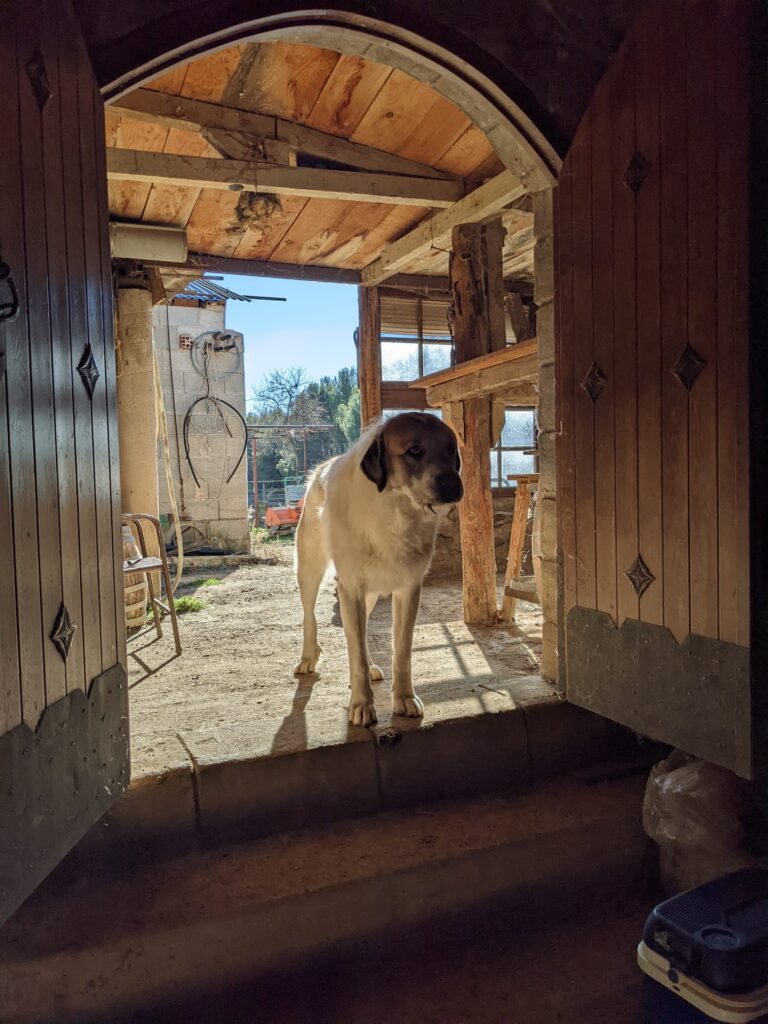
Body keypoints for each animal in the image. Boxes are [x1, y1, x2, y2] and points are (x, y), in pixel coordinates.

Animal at [292, 411, 462, 724]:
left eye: (449, 449)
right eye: (414, 451)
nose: (454, 486)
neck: (396, 511)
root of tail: (321, 467)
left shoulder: (408, 590)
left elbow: (401, 652)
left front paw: (404, 698)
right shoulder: (350, 589)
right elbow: (355, 652)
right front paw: (362, 704)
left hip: (368, 595)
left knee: (362, 629)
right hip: (310, 571)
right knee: (310, 616)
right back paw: (308, 657)